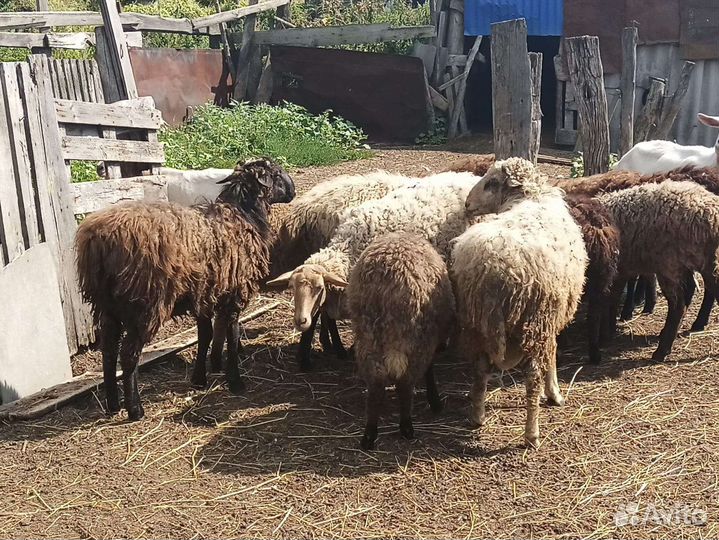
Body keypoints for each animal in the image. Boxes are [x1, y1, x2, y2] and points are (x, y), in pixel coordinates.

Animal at [75, 158, 295, 421]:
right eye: (277, 173)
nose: (293, 192)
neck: (243, 215)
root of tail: (99, 239)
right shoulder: (233, 293)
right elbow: (232, 337)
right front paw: (235, 381)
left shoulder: (205, 294)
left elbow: (206, 334)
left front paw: (199, 378)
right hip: (143, 304)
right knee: (128, 354)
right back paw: (135, 409)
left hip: (106, 305)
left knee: (108, 351)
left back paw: (112, 405)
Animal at [347, 232, 456, 450]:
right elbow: (429, 370)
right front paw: (434, 400)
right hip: (414, 337)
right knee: (405, 382)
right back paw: (406, 426)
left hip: (367, 335)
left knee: (376, 383)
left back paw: (369, 434)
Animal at [450, 158, 588, 448]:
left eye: (491, 183)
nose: (467, 204)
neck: (530, 197)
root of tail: (492, 269)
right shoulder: (551, 317)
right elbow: (553, 352)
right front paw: (554, 392)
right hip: (535, 319)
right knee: (532, 377)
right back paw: (532, 434)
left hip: (476, 321)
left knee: (480, 368)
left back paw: (477, 416)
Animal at [598, 181, 719, 361]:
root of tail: (712, 212)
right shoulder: (620, 270)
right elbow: (612, 299)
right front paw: (608, 331)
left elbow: (608, 300)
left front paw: (604, 335)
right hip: (704, 260)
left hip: (669, 264)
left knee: (679, 305)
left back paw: (661, 351)